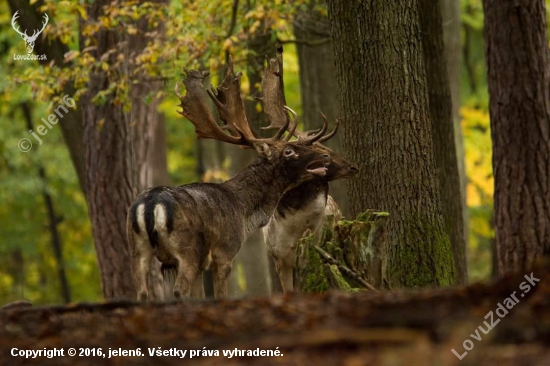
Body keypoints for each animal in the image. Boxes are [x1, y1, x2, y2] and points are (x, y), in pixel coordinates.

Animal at [127, 60, 338, 300]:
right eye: (289, 151)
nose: (326, 156)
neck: (243, 211)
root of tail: (151, 204)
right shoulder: (225, 253)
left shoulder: (201, 265)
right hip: (185, 248)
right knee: (179, 290)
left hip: (137, 248)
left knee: (143, 293)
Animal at [260, 50, 360, 294]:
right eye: (321, 152)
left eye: (326, 148)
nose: (353, 167)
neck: (294, 232)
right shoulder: (279, 259)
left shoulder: (319, 250)